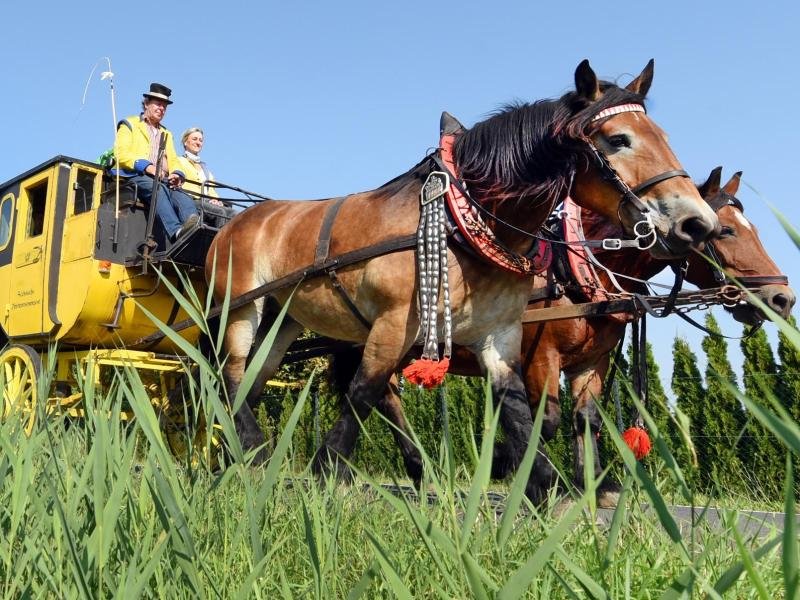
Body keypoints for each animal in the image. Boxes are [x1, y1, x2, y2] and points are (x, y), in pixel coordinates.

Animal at [206, 59, 720, 502]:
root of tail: (234, 222)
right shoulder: (394, 323)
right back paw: (253, 450)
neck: (462, 225)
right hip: (241, 306)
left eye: (662, 135)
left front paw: (537, 482)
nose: (697, 223)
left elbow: (517, 408)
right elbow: (364, 392)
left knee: (251, 378)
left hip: (284, 317)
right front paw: (328, 468)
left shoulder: (500, 335)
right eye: (618, 139)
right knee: (228, 375)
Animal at [334, 166, 792, 504]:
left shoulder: (592, 361)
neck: (575, 269)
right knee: (378, 393)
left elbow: (586, 419)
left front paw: (594, 486)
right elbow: (547, 420)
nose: (782, 298)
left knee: (381, 394)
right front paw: (513, 467)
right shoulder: (539, 353)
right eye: (724, 232)